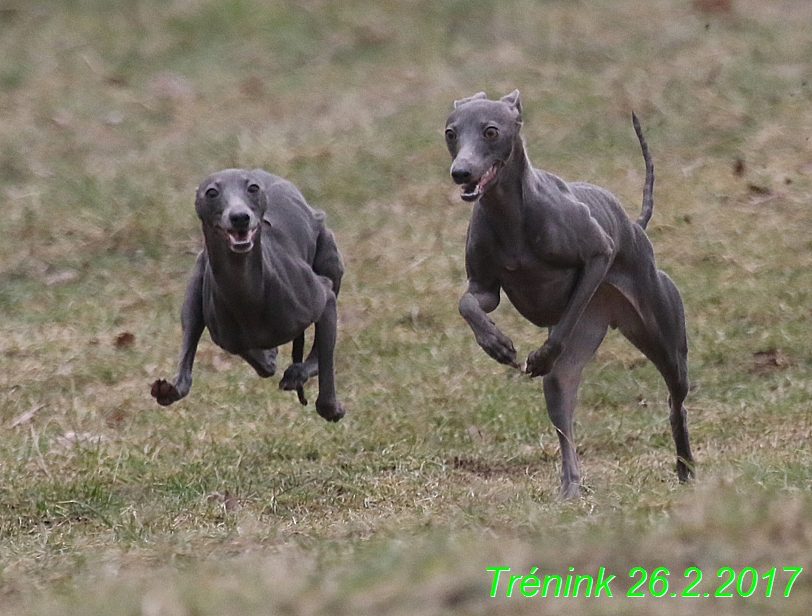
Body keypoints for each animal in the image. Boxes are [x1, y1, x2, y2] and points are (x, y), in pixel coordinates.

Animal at [151, 168, 344, 424]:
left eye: (253, 188)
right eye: (211, 192)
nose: (240, 217)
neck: (248, 294)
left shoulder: (324, 296)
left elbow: (322, 360)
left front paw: (329, 406)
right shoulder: (225, 336)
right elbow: (256, 358)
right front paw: (268, 356)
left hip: (330, 259)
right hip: (194, 291)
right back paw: (171, 389)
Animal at [444, 90, 692, 496]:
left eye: (491, 131)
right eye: (451, 133)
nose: (461, 173)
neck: (511, 214)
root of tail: (634, 225)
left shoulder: (599, 255)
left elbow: (565, 320)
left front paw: (542, 354)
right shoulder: (484, 289)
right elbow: (469, 303)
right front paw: (496, 344)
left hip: (665, 338)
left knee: (676, 402)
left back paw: (686, 468)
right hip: (573, 365)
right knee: (564, 417)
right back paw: (571, 488)